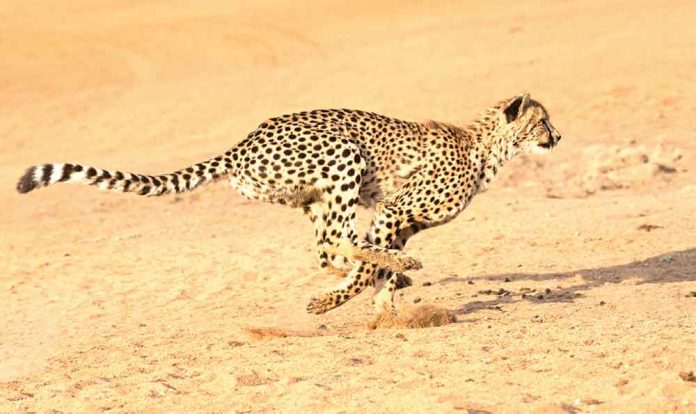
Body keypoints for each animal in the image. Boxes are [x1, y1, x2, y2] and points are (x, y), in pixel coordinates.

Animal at [16, 93, 561, 315]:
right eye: (542, 121)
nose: (558, 136)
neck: (485, 149)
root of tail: (244, 141)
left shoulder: (400, 222)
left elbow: (374, 268)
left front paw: (385, 305)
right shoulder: (392, 213)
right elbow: (372, 263)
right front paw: (343, 301)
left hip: (313, 197)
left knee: (325, 249)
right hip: (343, 158)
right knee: (338, 241)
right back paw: (378, 274)